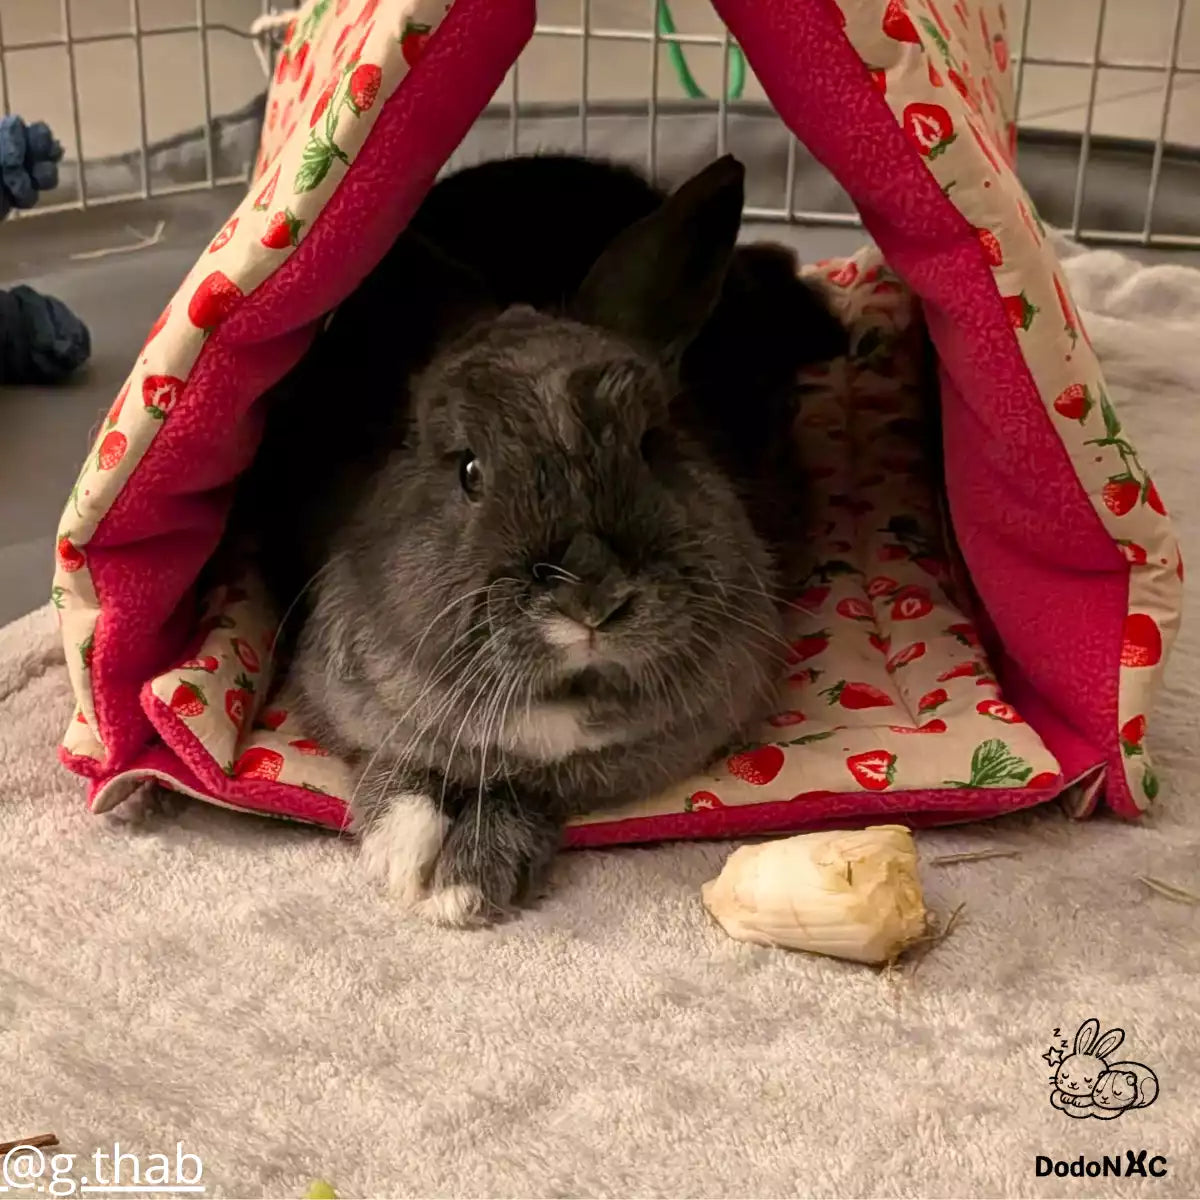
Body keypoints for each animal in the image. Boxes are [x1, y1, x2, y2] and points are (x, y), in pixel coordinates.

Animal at [230, 155, 845, 925]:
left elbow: (528, 792)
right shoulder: (352, 715)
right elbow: (396, 770)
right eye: (468, 470)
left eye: (653, 444)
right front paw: (406, 857)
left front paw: (462, 885)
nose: (592, 599)